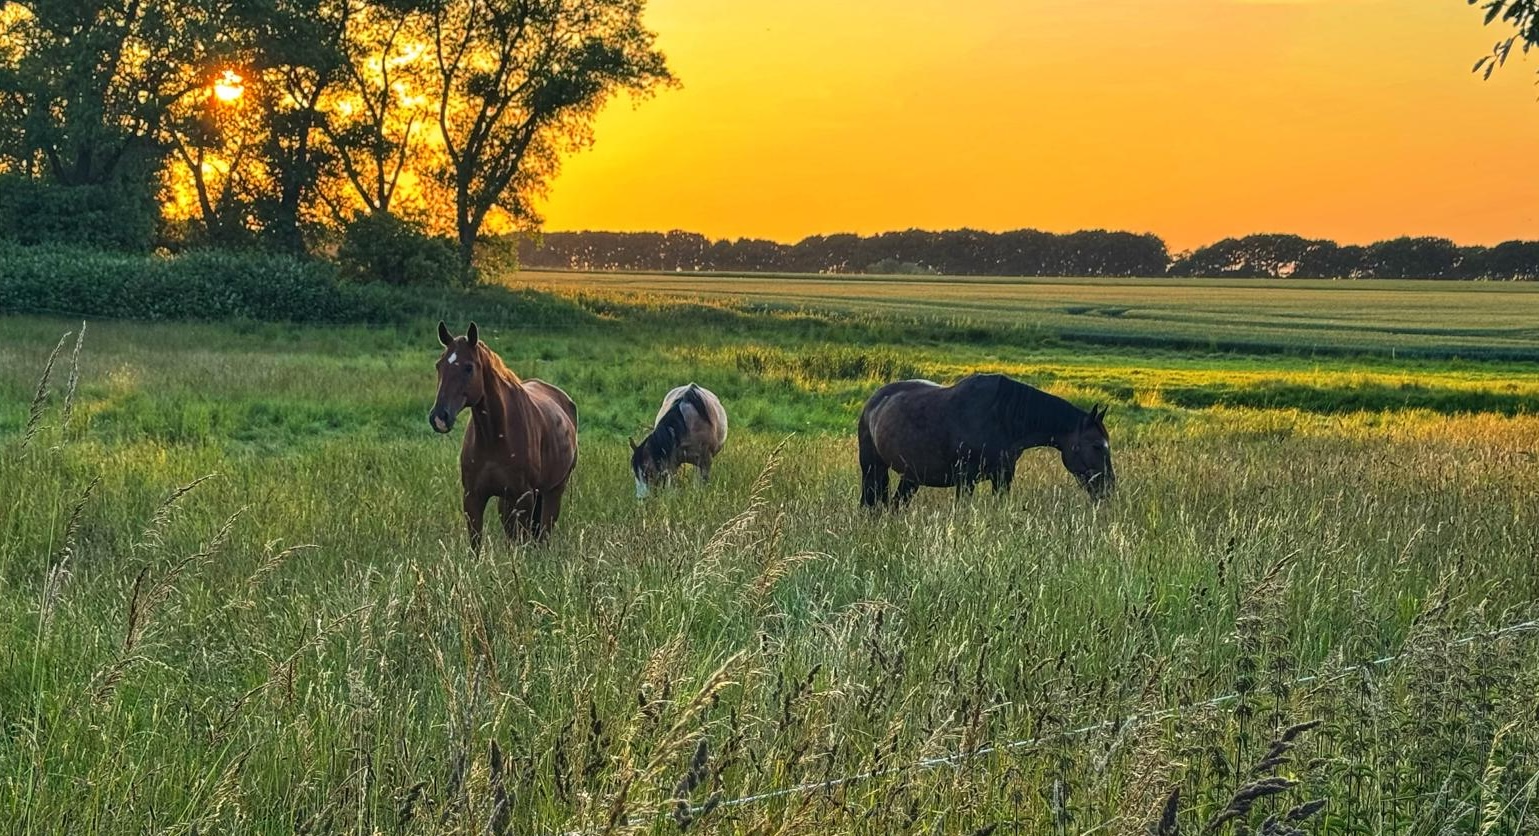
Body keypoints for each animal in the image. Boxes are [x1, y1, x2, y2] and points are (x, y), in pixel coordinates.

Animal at [428, 321, 578, 548]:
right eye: (439, 365)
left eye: (468, 367)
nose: (439, 417)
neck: (494, 436)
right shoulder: (473, 497)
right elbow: (476, 546)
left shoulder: (524, 498)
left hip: (553, 492)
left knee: (543, 535)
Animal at [858, 373, 1114, 508]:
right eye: (1097, 446)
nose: (1108, 488)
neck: (1000, 417)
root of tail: (874, 402)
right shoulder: (965, 479)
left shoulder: (1003, 476)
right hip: (873, 469)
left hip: (911, 477)